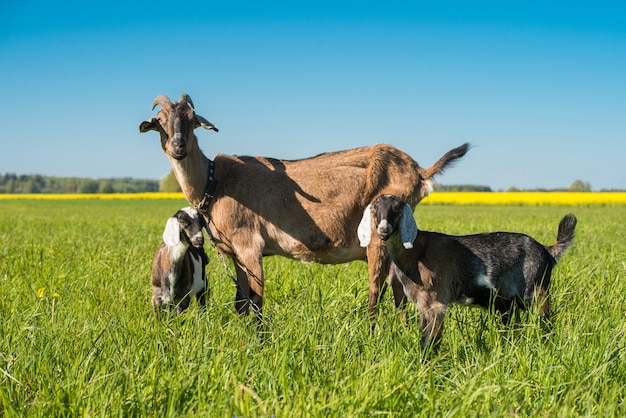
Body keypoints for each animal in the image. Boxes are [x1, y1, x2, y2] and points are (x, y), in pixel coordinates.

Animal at [138, 94, 468, 320]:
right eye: (160, 123)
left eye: (193, 119)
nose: (178, 147)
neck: (215, 182)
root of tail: (419, 171)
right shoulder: (235, 254)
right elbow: (240, 303)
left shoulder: (250, 245)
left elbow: (256, 301)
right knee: (398, 292)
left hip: (379, 234)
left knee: (378, 291)